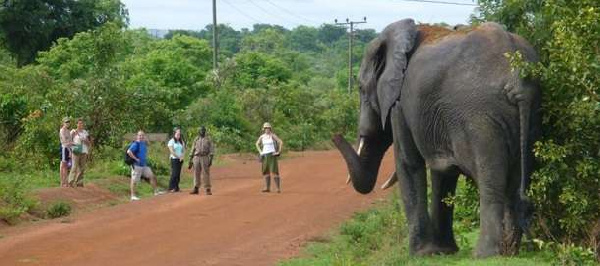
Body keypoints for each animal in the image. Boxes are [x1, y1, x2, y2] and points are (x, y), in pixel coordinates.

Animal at [336, 19, 540, 258]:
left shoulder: (399, 104)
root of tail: (517, 77)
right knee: (516, 177)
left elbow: (409, 163)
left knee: (490, 179)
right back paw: (509, 251)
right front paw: (443, 251)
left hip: (480, 116)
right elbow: (444, 173)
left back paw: (485, 254)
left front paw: (420, 254)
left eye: (360, 87)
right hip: (531, 115)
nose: (335, 136)